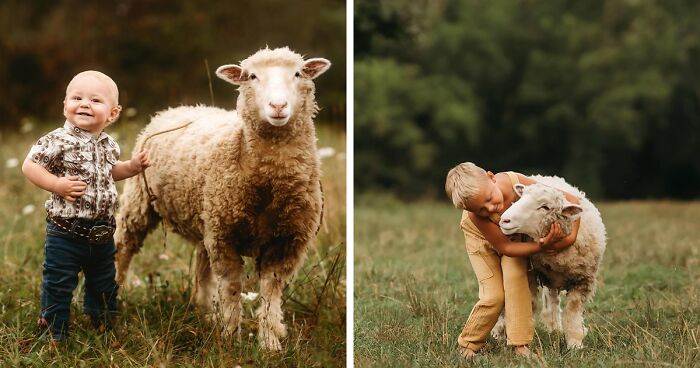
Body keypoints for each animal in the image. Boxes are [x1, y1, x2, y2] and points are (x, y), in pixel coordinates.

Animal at [114, 46, 330, 350]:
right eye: (251, 76)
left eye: (298, 73)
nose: (277, 106)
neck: (268, 185)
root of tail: (179, 108)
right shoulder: (225, 237)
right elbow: (231, 288)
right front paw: (230, 339)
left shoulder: (286, 241)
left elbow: (270, 292)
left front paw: (269, 344)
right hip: (141, 201)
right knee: (124, 247)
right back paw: (116, 295)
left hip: (207, 217)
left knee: (202, 268)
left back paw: (205, 314)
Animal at [492, 177, 608, 350]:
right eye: (521, 198)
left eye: (545, 207)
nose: (505, 220)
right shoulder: (530, 275)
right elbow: (528, 304)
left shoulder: (583, 281)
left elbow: (572, 312)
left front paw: (575, 344)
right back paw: (498, 332)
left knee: (553, 300)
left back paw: (555, 329)